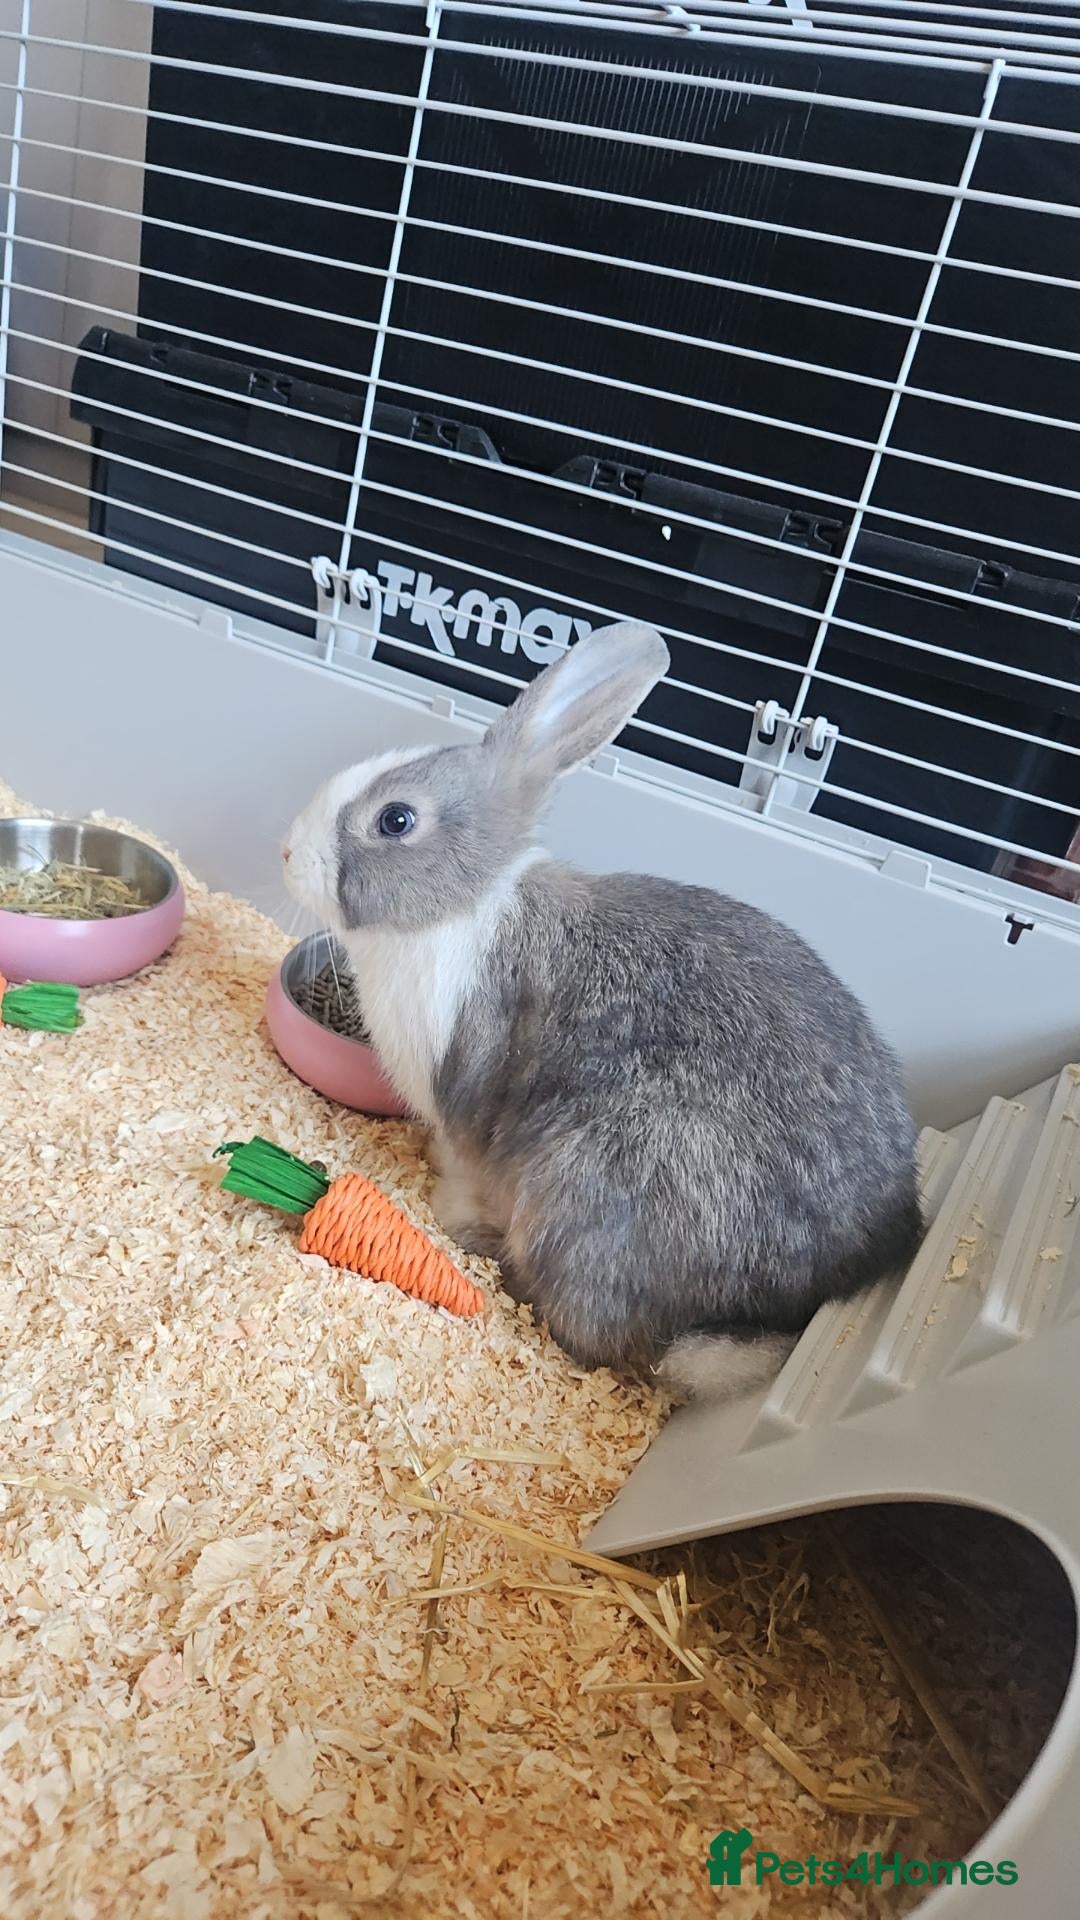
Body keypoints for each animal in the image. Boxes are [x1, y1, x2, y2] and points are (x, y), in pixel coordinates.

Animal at [283, 621, 922, 1401]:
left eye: (395, 819)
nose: (287, 853)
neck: (464, 904)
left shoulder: (465, 1094)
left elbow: (466, 1154)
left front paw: (447, 1191)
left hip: (590, 1184)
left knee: (586, 1331)